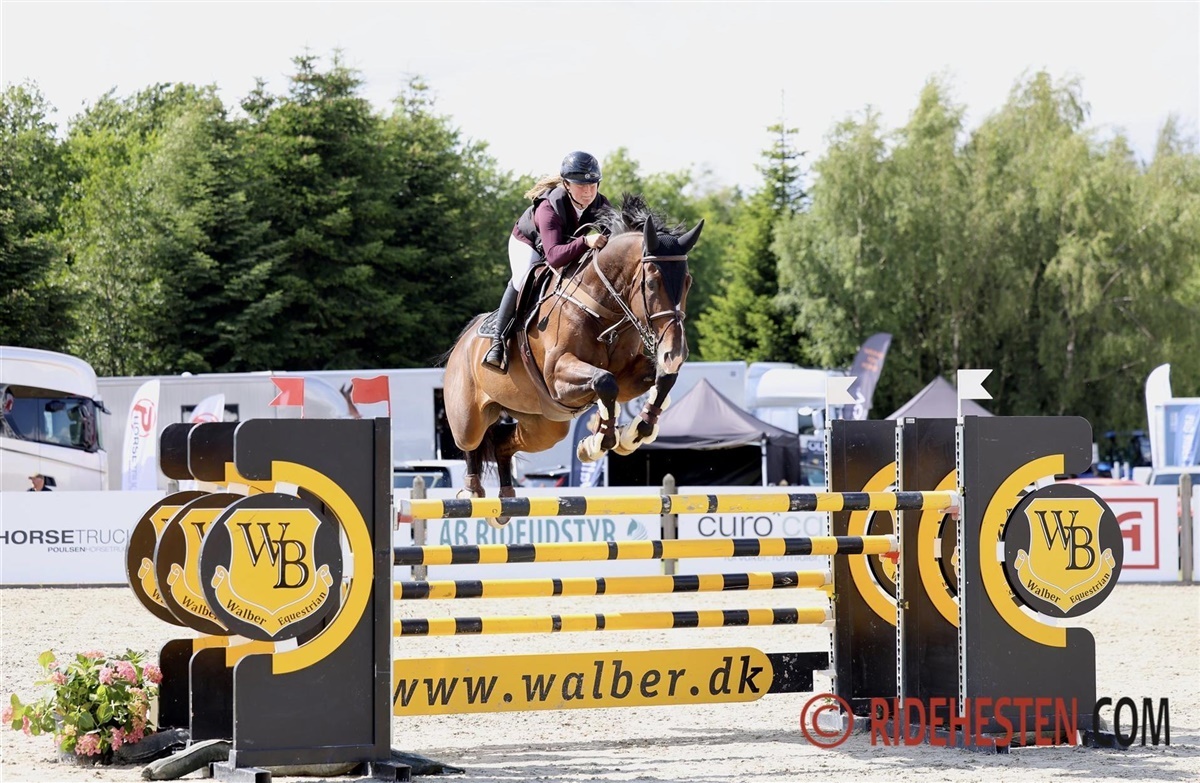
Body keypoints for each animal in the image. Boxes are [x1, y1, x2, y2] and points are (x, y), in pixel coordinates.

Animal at [442, 195, 704, 527]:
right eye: (652, 284)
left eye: (688, 282)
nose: (675, 353)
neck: (602, 308)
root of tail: (461, 343)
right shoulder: (558, 378)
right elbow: (605, 381)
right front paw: (598, 442)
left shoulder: (629, 376)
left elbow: (660, 380)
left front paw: (634, 432)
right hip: (469, 417)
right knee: (471, 444)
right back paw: (473, 492)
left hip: (545, 425)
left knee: (502, 441)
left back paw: (506, 499)